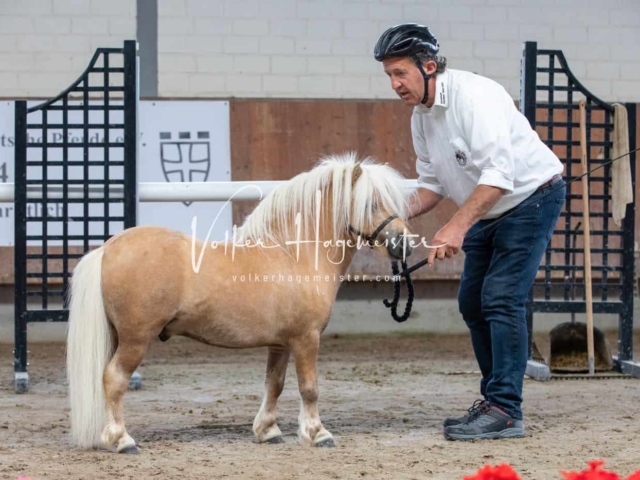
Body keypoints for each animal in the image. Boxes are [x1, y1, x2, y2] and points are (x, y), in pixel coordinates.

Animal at [65, 153, 416, 454]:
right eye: (371, 203)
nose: (405, 244)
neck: (293, 254)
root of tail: (107, 249)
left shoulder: (281, 343)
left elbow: (274, 384)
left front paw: (268, 431)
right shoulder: (306, 339)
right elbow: (309, 388)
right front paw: (318, 434)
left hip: (117, 336)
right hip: (136, 338)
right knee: (114, 379)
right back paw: (122, 440)